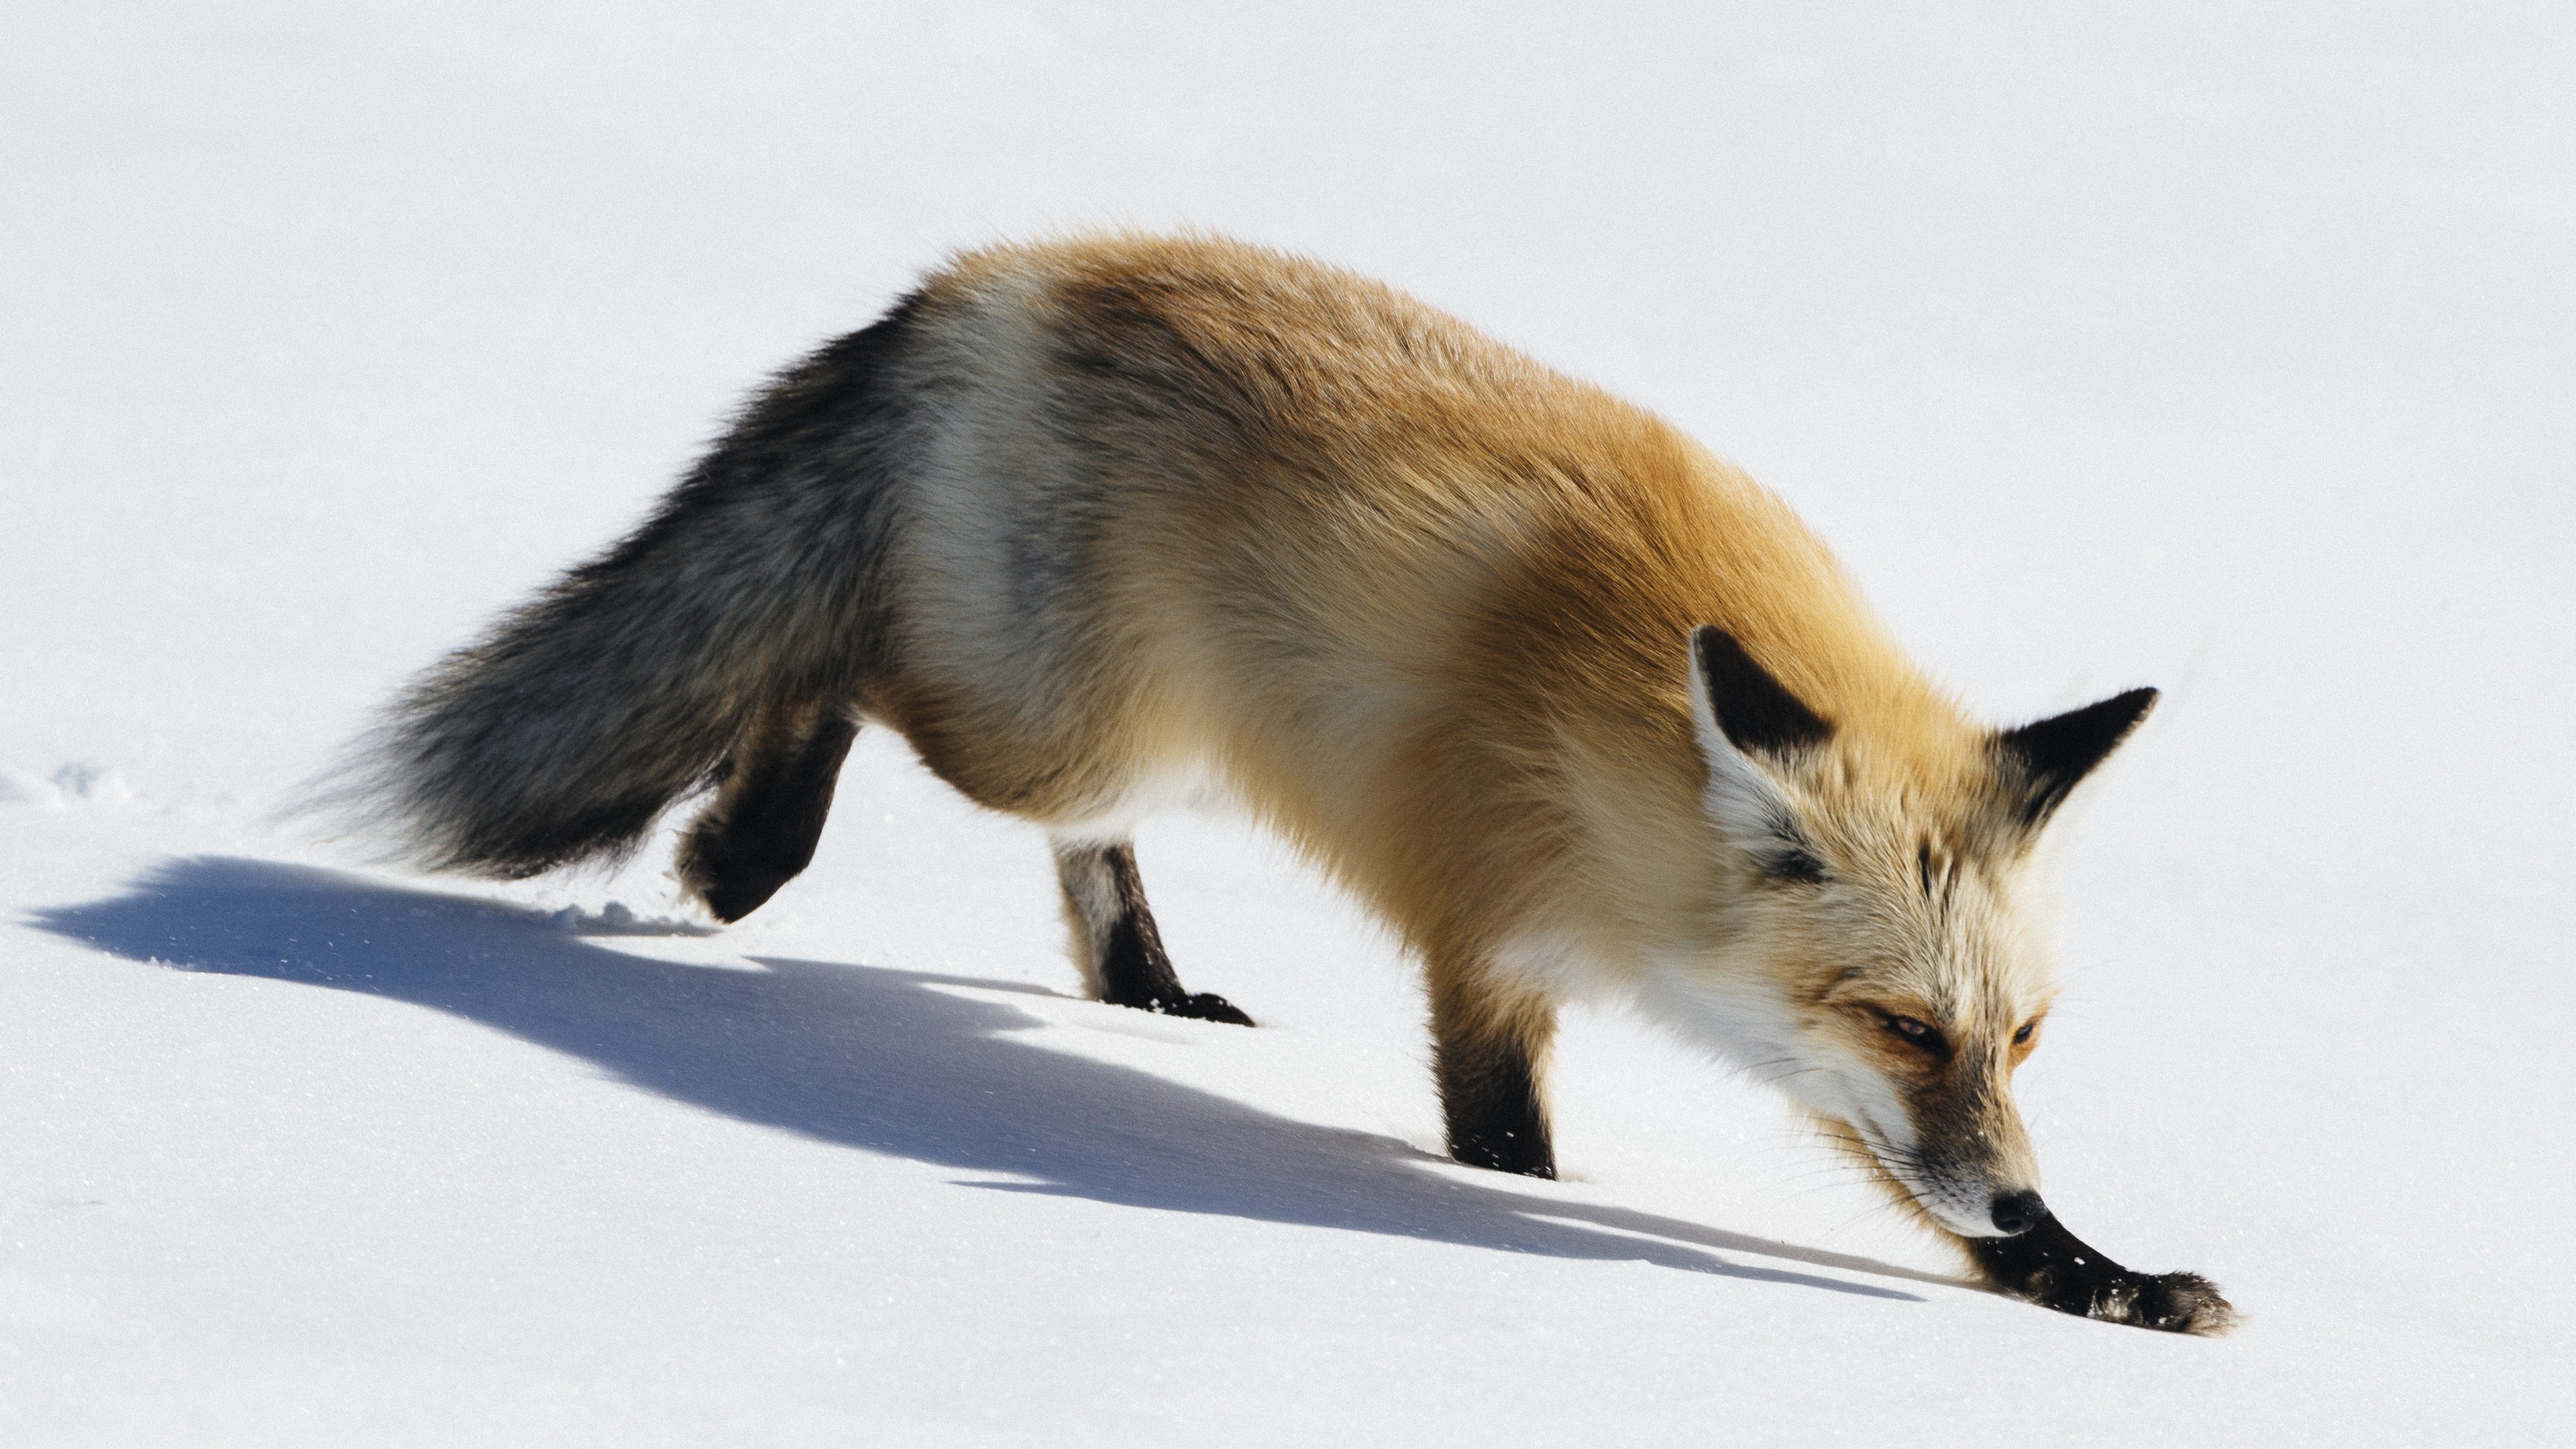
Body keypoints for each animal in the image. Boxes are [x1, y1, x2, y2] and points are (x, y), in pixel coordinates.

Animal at [334, 231, 2233, 1333]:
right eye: (1908, 1022)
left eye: (2019, 1037)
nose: (2013, 1183)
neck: (1617, 730)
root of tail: (994, 271)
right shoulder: (1487, 943)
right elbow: (1509, 1149)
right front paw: (1510, 1231)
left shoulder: (1785, 1039)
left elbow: (1935, 1202)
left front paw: (2094, 1276)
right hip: (1049, 719)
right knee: (837, 664)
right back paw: (741, 851)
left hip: (1151, 745)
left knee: (1071, 844)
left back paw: (1141, 988)